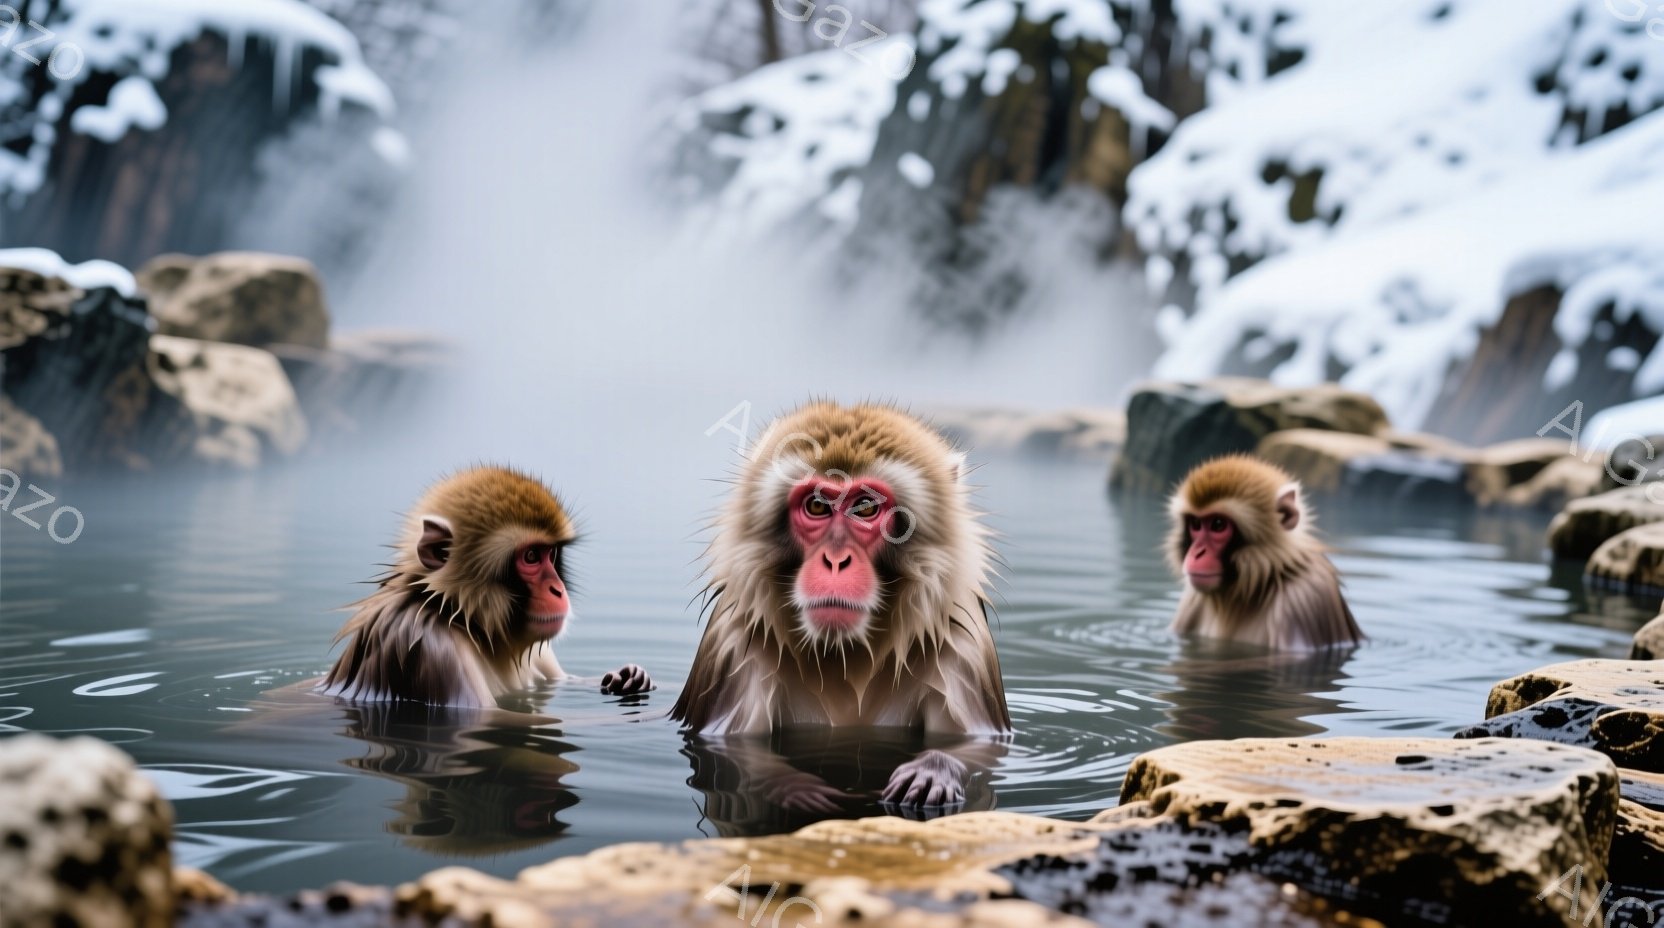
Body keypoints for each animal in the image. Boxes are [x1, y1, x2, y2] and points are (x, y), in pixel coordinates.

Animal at [318, 466, 652, 707]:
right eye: (531, 556)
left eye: (551, 554)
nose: (558, 590)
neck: (466, 620)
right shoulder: (434, 649)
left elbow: (563, 681)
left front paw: (627, 678)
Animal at [672, 401, 1009, 810]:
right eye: (817, 505)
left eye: (865, 507)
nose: (835, 561)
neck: (845, 656)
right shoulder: (733, 645)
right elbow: (727, 747)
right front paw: (791, 788)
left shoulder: (963, 648)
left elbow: (980, 744)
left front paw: (934, 770)